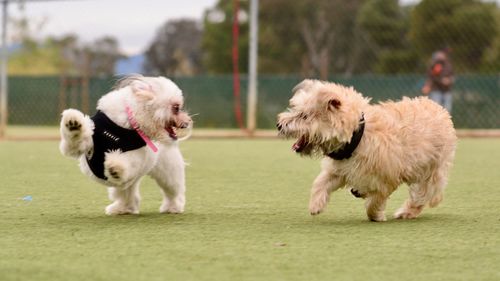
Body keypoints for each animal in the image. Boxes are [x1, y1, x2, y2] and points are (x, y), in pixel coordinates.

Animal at [58, 75, 191, 214]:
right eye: (176, 108)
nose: (187, 122)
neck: (123, 125)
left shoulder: (136, 158)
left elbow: (125, 161)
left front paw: (115, 167)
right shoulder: (81, 146)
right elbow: (75, 140)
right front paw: (73, 125)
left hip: (168, 173)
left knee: (173, 192)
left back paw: (173, 207)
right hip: (124, 185)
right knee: (128, 196)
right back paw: (122, 208)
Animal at [278, 79, 458, 221]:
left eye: (304, 116)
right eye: (295, 110)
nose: (279, 125)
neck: (357, 136)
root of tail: (441, 109)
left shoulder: (386, 181)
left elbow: (374, 202)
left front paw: (376, 216)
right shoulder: (339, 171)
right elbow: (320, 183)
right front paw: (316, 204)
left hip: (431, 172)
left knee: (422, 195)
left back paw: (406, 212)